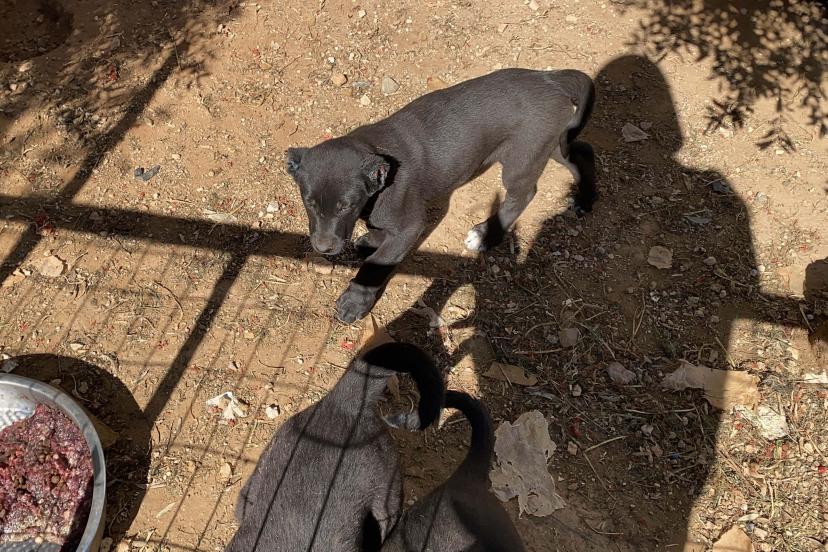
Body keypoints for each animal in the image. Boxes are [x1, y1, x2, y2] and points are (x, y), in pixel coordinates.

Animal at [286, 68, 596, 323]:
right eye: (308, 202)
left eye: (346, 206)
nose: (323, 248)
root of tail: (548, 78)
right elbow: (377, 232)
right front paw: (371, 240)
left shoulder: (410, 225)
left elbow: (377, 264)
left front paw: (354, 301)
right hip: (549, 144)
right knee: (581, 151)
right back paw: (585, 199)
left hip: (523, 156)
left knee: (524, 194)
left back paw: (486, 235)